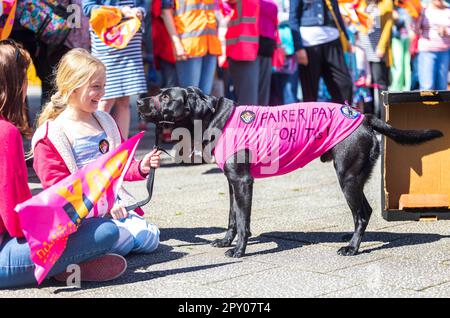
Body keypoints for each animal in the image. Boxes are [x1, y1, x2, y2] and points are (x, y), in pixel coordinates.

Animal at [138, 87, 442, 258]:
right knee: (360, 214)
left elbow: (243, 221)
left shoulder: (243, 181)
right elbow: (232, 217)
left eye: (165, 97)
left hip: (348, 177)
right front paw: (225, 240)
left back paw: (352, 247)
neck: (216, 117)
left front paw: (239, 250)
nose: (140, 101)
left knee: (363, 212)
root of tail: (363, 116)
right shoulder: (231, 182)